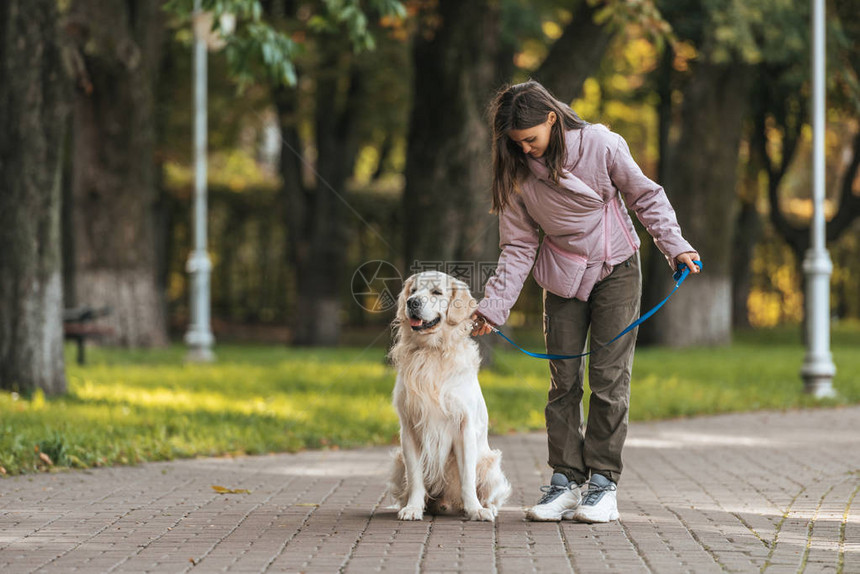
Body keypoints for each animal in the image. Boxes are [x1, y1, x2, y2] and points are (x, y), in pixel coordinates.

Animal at [384, 272, 508, 520]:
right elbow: (415, 477)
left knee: (490, 494)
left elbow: (467, 478)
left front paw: (475, 510)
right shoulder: (409, 428)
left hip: (490, 465)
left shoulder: (464, 427)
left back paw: (486, 507)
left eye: (436, 292)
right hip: (397, 462)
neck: (431, 352)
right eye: (413, 291)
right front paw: (412, 508)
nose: (412, 302)